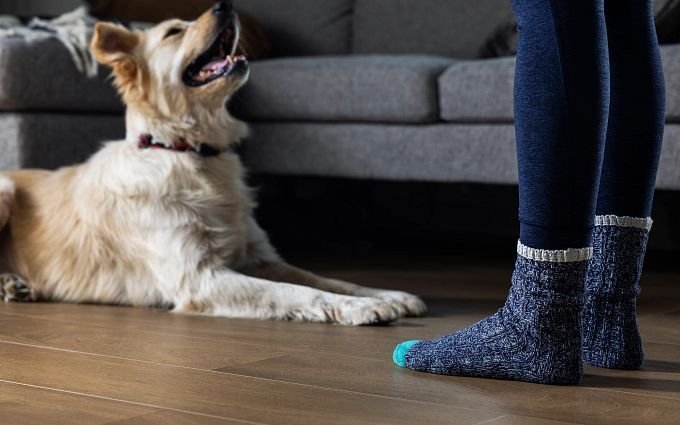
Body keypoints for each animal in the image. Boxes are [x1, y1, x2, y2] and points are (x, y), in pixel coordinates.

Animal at [0, 0, 424, 324]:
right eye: (173, 31)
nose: (225, 4)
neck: (187, 151)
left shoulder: (260, 257)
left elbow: (324, 279)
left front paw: (385, 294)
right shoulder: (200, 278)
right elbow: (295, 292)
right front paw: (360, 308)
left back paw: (12, 284)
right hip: (4, 190)